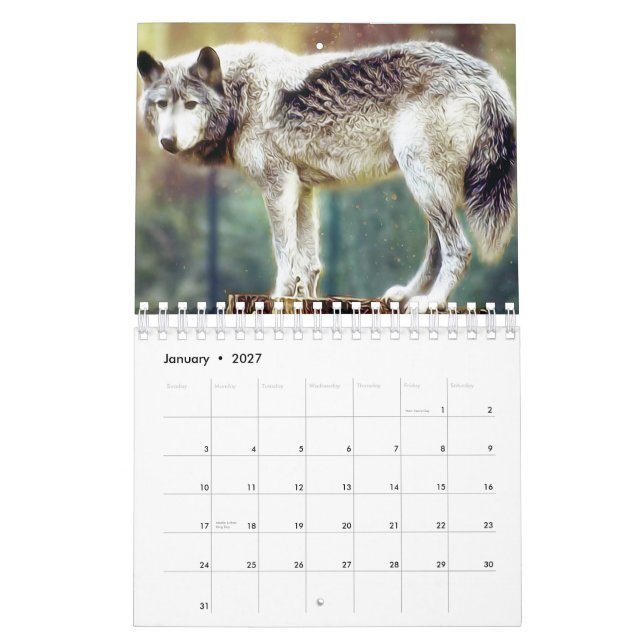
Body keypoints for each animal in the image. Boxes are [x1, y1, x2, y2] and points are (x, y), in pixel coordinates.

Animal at [137, 41, 516, 311]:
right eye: (161, 104)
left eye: (191, 104)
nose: (167, 142)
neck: (241, 96)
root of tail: (487, 76)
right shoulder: (303, 189)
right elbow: (309, 262)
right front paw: (306, 299)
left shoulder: (278, 186)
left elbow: (285, 255)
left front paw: (278, 298)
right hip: (427, 189)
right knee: (437, 250)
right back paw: (406, 295)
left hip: (424, 183)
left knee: (459, 249)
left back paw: (431, 303)